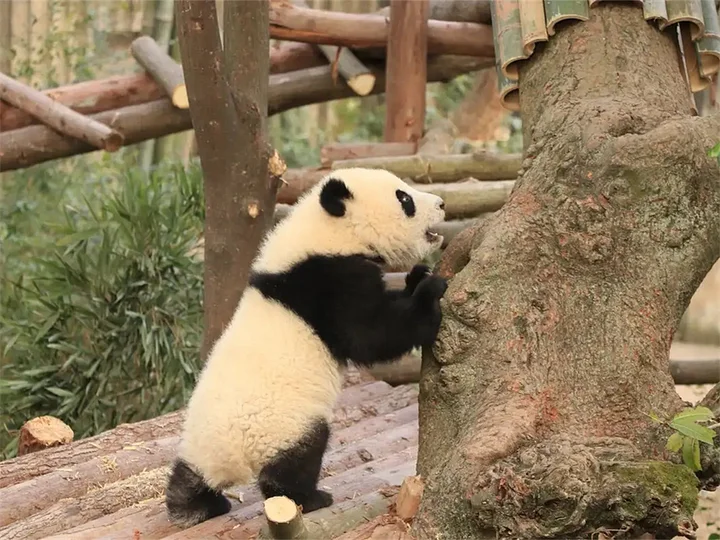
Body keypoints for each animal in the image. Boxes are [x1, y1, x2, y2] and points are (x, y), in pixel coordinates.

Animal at [165, 167, 448, 528]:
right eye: (404, 199)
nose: (441, 203)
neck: (324, 232)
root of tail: (229, 458)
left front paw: (417, 275)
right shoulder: (328, 282)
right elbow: (371, 335)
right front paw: (430, 291)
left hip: (197, 443)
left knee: (187, 476)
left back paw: (193, 505)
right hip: (285, 424)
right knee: (295, 463)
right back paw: (310, 498)